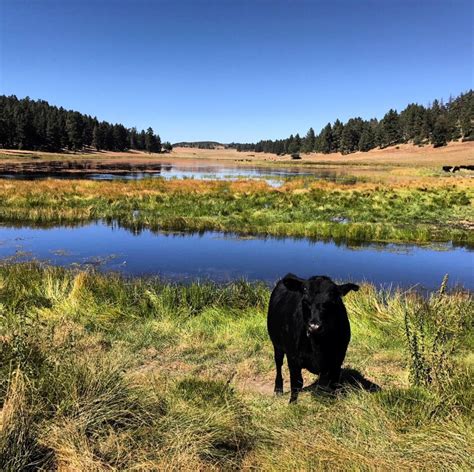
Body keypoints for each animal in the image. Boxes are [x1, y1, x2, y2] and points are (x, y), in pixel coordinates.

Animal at [266, 272, 360, 402]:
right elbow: (296, 382)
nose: (314, 326)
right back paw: (278, 389)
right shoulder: (293, 357)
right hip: (277, 344)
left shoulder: (338, 358)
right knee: (278, 364)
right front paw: (292, 403)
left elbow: (334, 383)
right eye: (305, 301)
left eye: (331, 302)